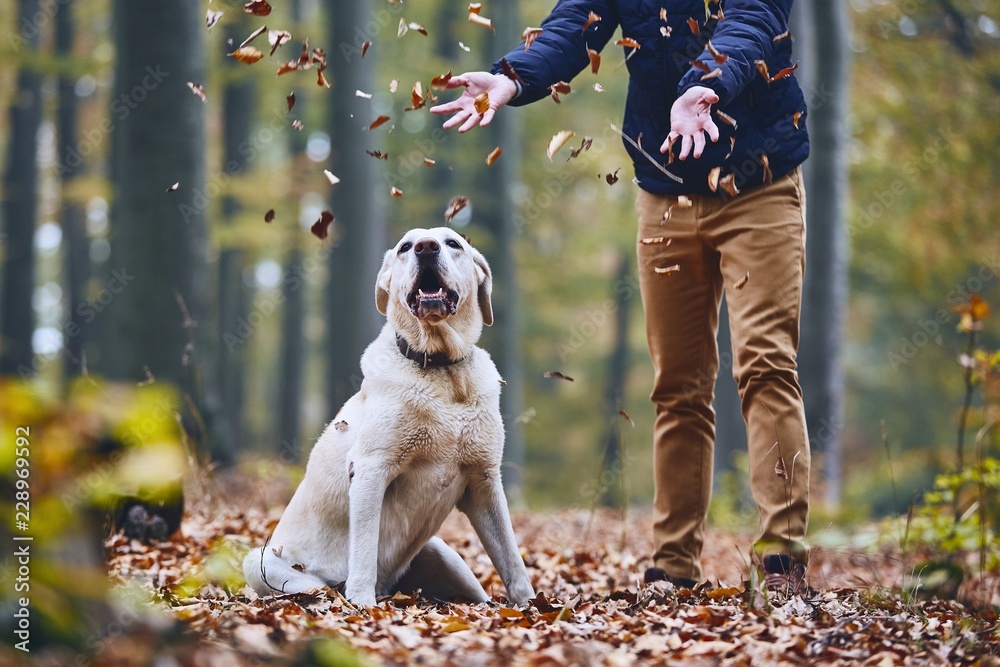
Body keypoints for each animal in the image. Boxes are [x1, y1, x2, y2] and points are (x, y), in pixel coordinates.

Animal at [245, 227, 536, 608]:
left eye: (453, 243)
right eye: (405, 247)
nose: (426, 248)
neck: (443, 372)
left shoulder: (484, 481)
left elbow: (512, 558)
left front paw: (532, 606)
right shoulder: (371, 469)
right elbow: (365, 549)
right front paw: (362, 605)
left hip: (445, 553)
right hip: (261, 561)